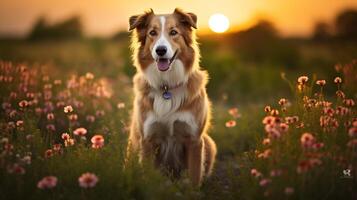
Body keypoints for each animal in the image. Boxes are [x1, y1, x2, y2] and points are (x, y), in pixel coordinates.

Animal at [128, 7, 217, 186]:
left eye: (174, 32)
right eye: (152, 33)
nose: (160, 50)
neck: (166, 86)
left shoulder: (194, 139)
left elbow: (194, 175)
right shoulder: (147, 140)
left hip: (209, 143)